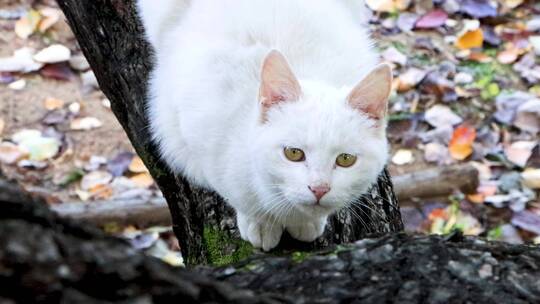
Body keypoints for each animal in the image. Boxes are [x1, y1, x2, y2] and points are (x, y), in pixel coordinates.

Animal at [138, 0, 392, 251]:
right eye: (293, 153)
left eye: (346, 159)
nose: (319, 189)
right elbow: (235, 194)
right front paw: (260, 223)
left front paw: (307, 222)